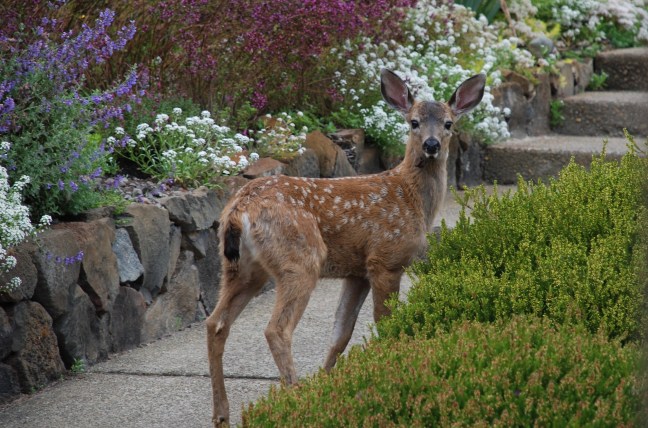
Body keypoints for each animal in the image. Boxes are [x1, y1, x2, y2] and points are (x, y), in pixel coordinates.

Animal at [206, 69, 486, 426]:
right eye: (413, 122)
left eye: (448, 123)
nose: (432, 145)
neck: (412, 199)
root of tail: (239, 208)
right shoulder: (385, 259)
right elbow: (384, 323)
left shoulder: (357, 272)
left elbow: (341, 333)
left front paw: (328, 383)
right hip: (300, 258)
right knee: (276, 329)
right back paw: (297, 399)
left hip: (241, 268)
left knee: (216, 323)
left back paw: (222, 414)